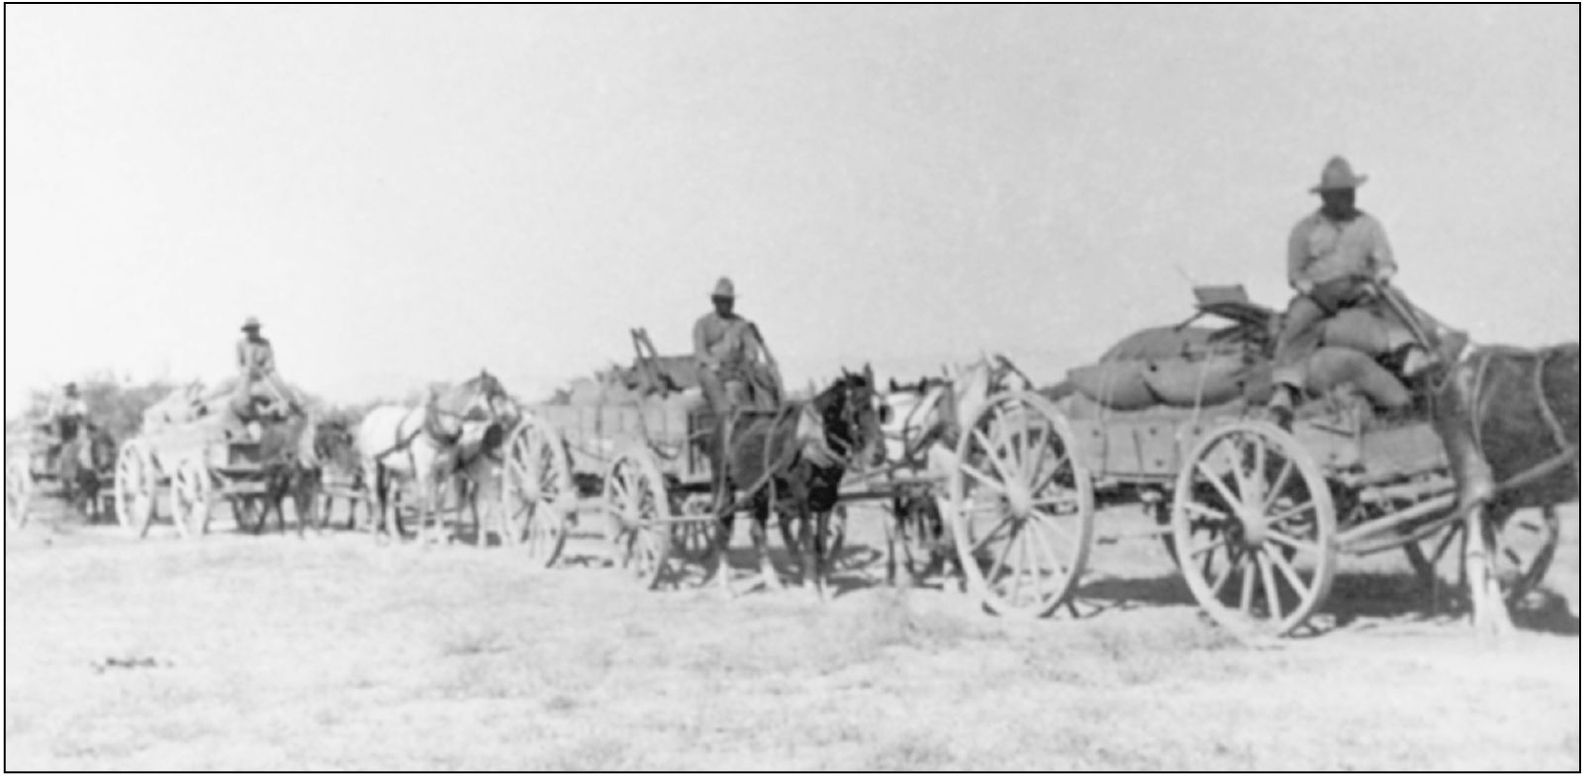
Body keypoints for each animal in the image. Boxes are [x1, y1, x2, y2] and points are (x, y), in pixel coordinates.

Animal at [357, 370, 512, 541]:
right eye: (496, 392)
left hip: (397, 471)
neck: (436, 426)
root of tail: (370, 417)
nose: (512, 415)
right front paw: (422, 541)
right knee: (374, 498)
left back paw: (396, 535)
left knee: (390, 498)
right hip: (371, 465)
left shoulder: (443, 473)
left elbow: (439, 503)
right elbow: (424, 502)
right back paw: (375, 537)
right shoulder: (424, 473)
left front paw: (441, 539)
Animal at [706, 366, 884, 598]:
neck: (812, 439)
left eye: (880, 409)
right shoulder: (802, 496)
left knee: (757, 531)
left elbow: (820, 543)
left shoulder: (827, 497)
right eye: (858, 407)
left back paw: (772, 582)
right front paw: (810, 588)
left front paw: (822, 587)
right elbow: (807, 539)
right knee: (723, 526)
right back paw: (726, 586)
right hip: (723, 484)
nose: (879, 454)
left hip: (761, 490)